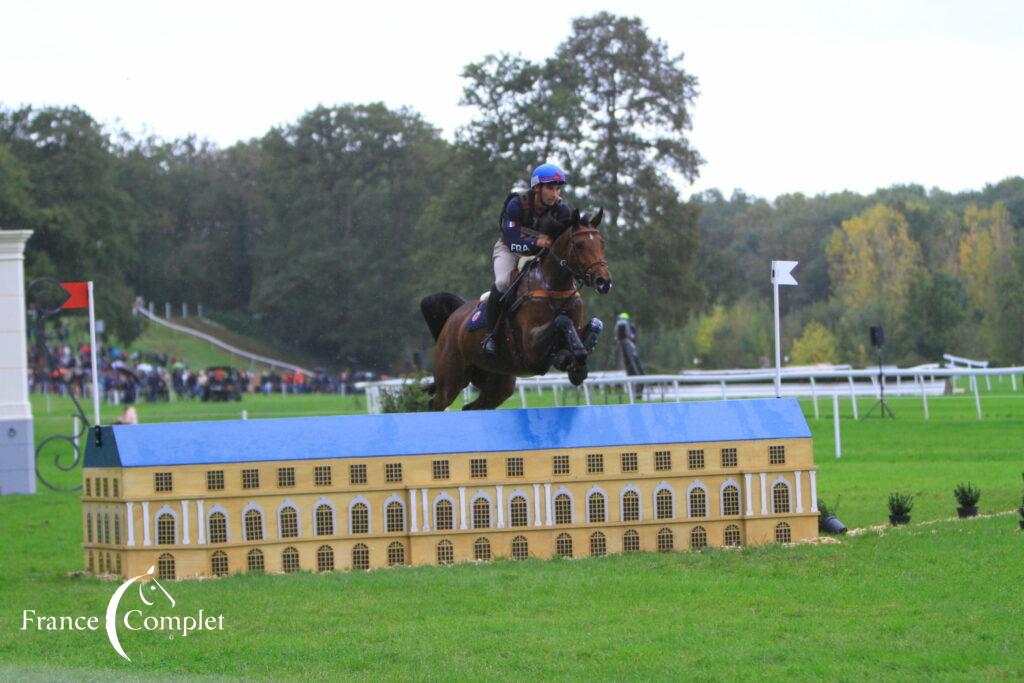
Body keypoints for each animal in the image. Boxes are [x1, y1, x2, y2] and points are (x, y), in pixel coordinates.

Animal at [419, 208, 610, 411]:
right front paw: (569, 357)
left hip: (497, 384)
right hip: (450, 379)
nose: (604, 282)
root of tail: (454, 316)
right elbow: (562, 321)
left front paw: (576, 365)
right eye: (579, 245)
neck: (553, 286)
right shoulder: (531, 347)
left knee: (471, 407)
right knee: (436, 404)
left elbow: (595, 324)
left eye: (602, 243)